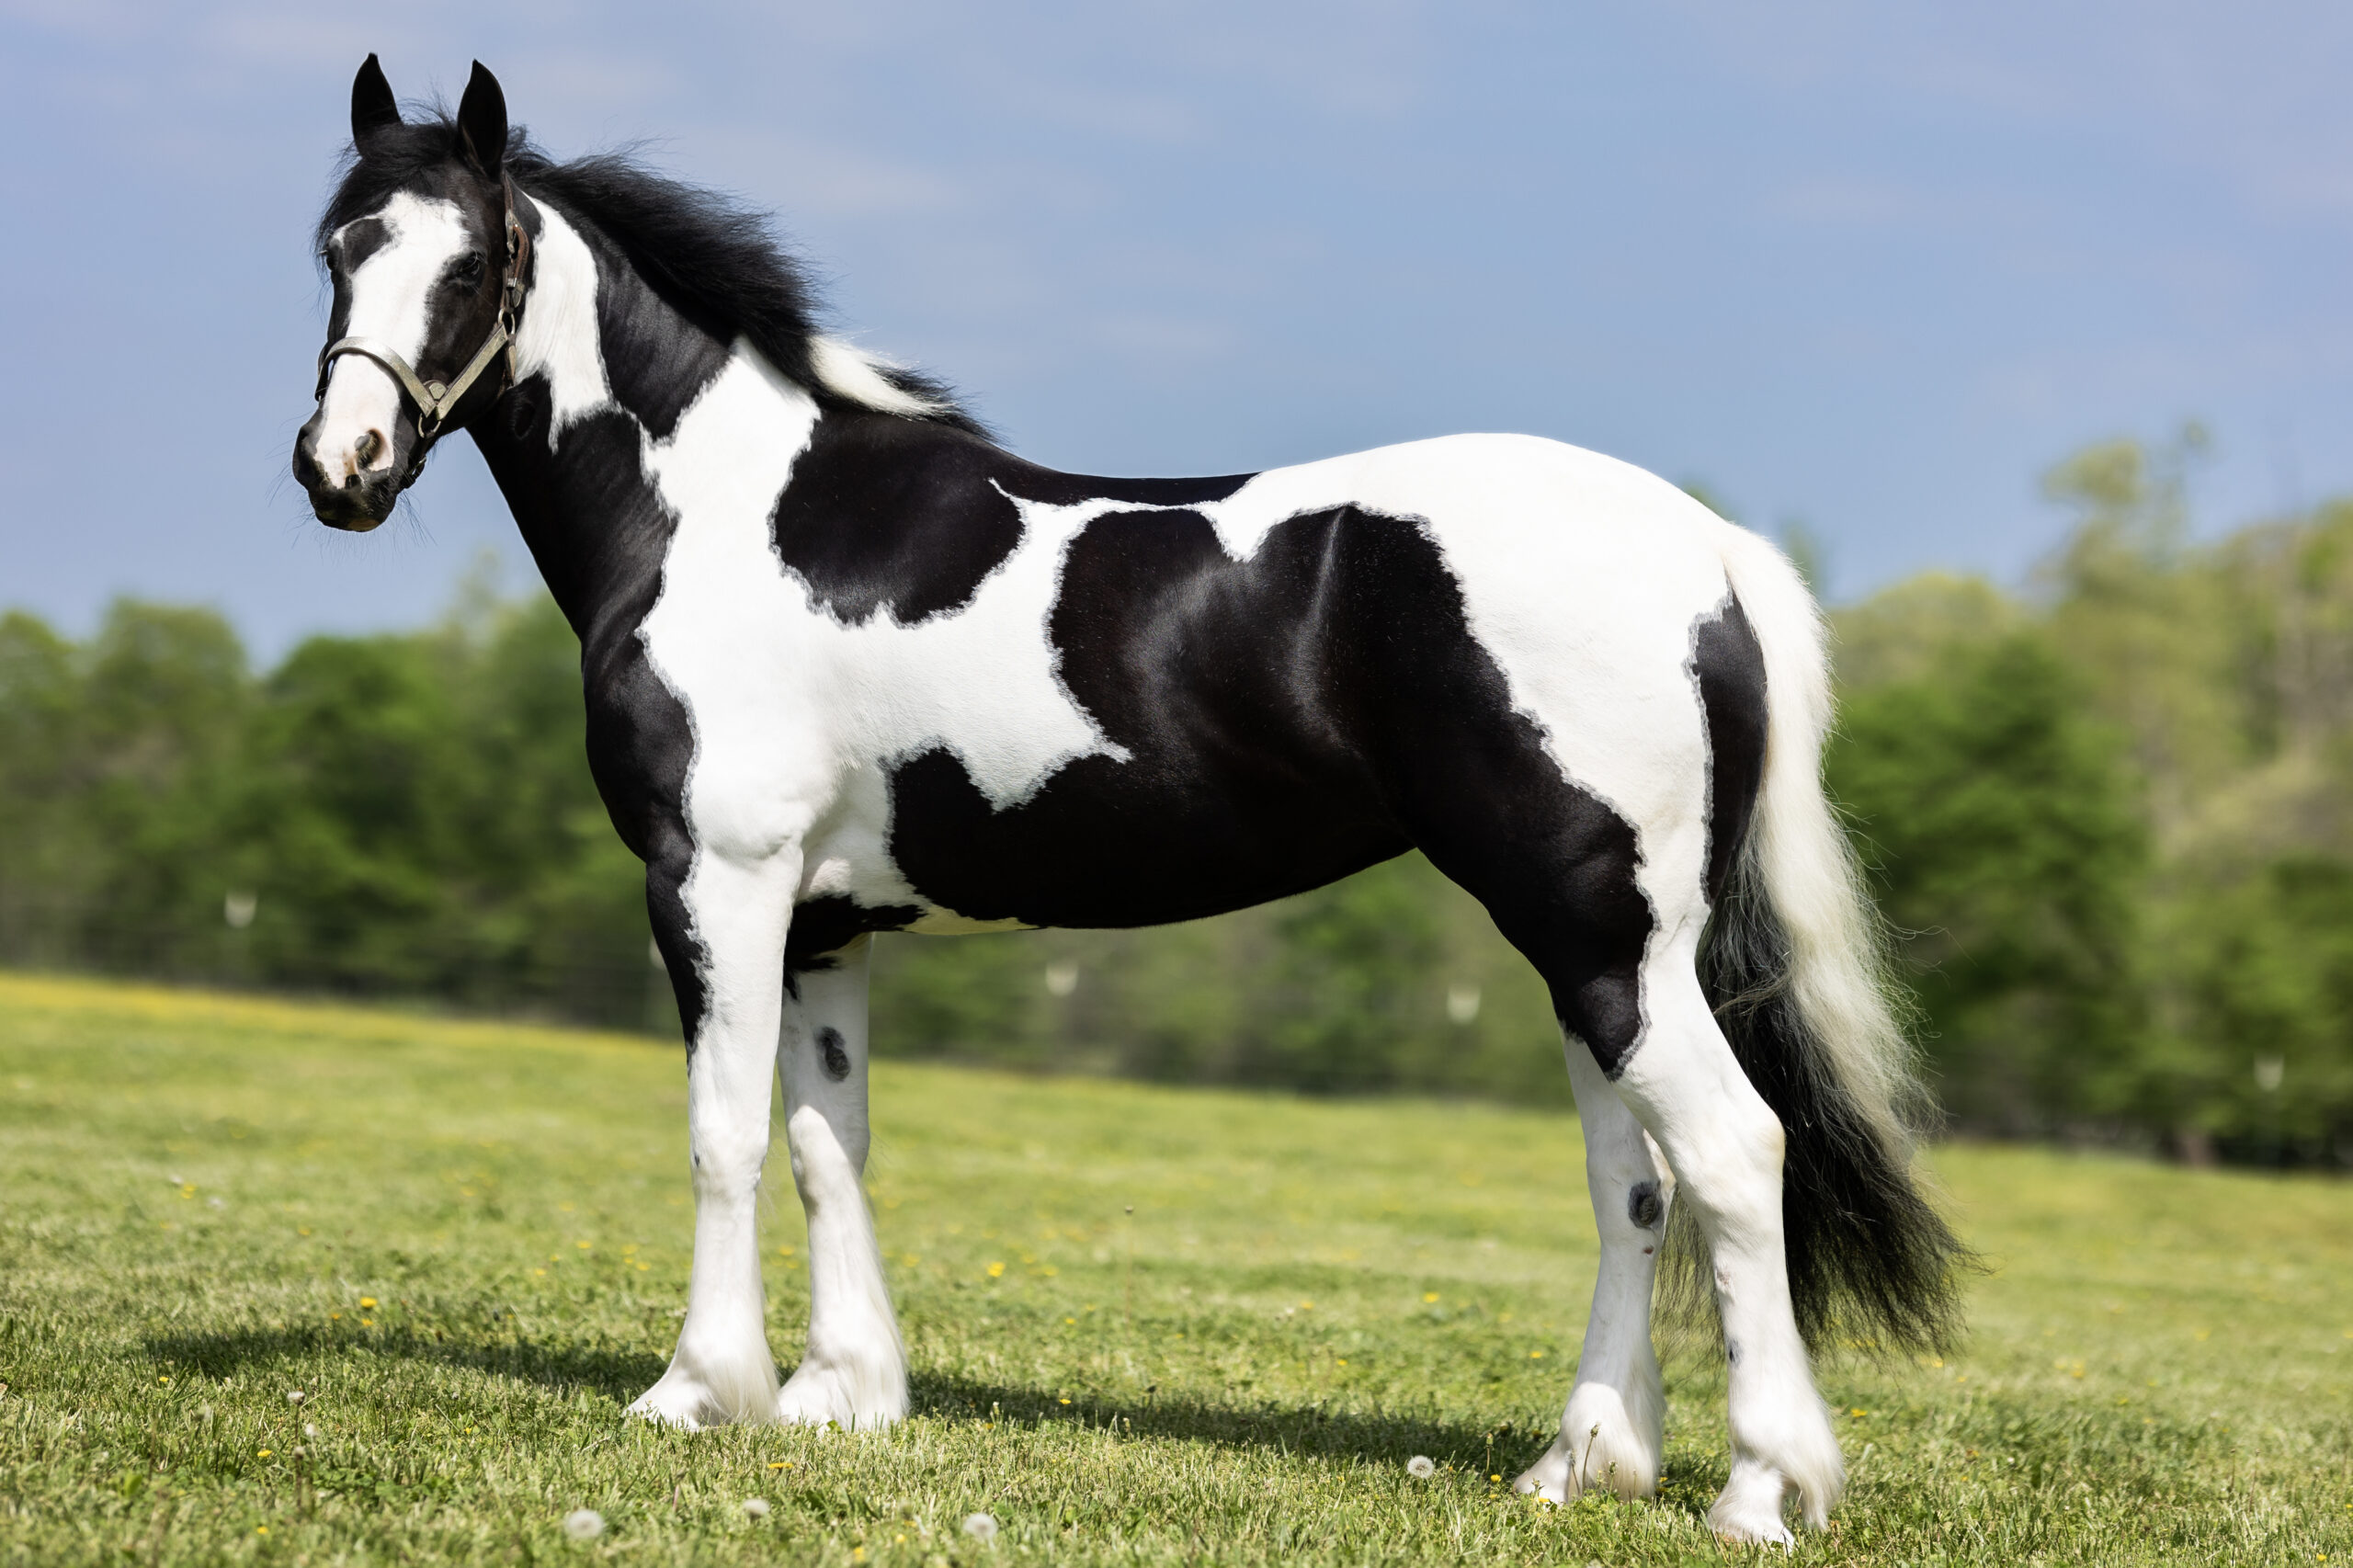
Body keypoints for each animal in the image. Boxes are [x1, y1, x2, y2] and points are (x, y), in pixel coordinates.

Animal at [291, 56, 1963, 1545]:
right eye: (335, 250)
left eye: (471, 262)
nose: (340, 465)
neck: (730, 518)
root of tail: (1708, 548)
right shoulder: (828, 920)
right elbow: (831, 1138)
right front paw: (843, 1394)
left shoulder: (718, 879)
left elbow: (723, 1134)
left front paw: (700, 1391)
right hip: (1592, 950)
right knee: (1635, 1184)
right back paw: (1580, 1468)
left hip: (1605, 940)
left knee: (1734, 1159)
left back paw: (1761, 1493)